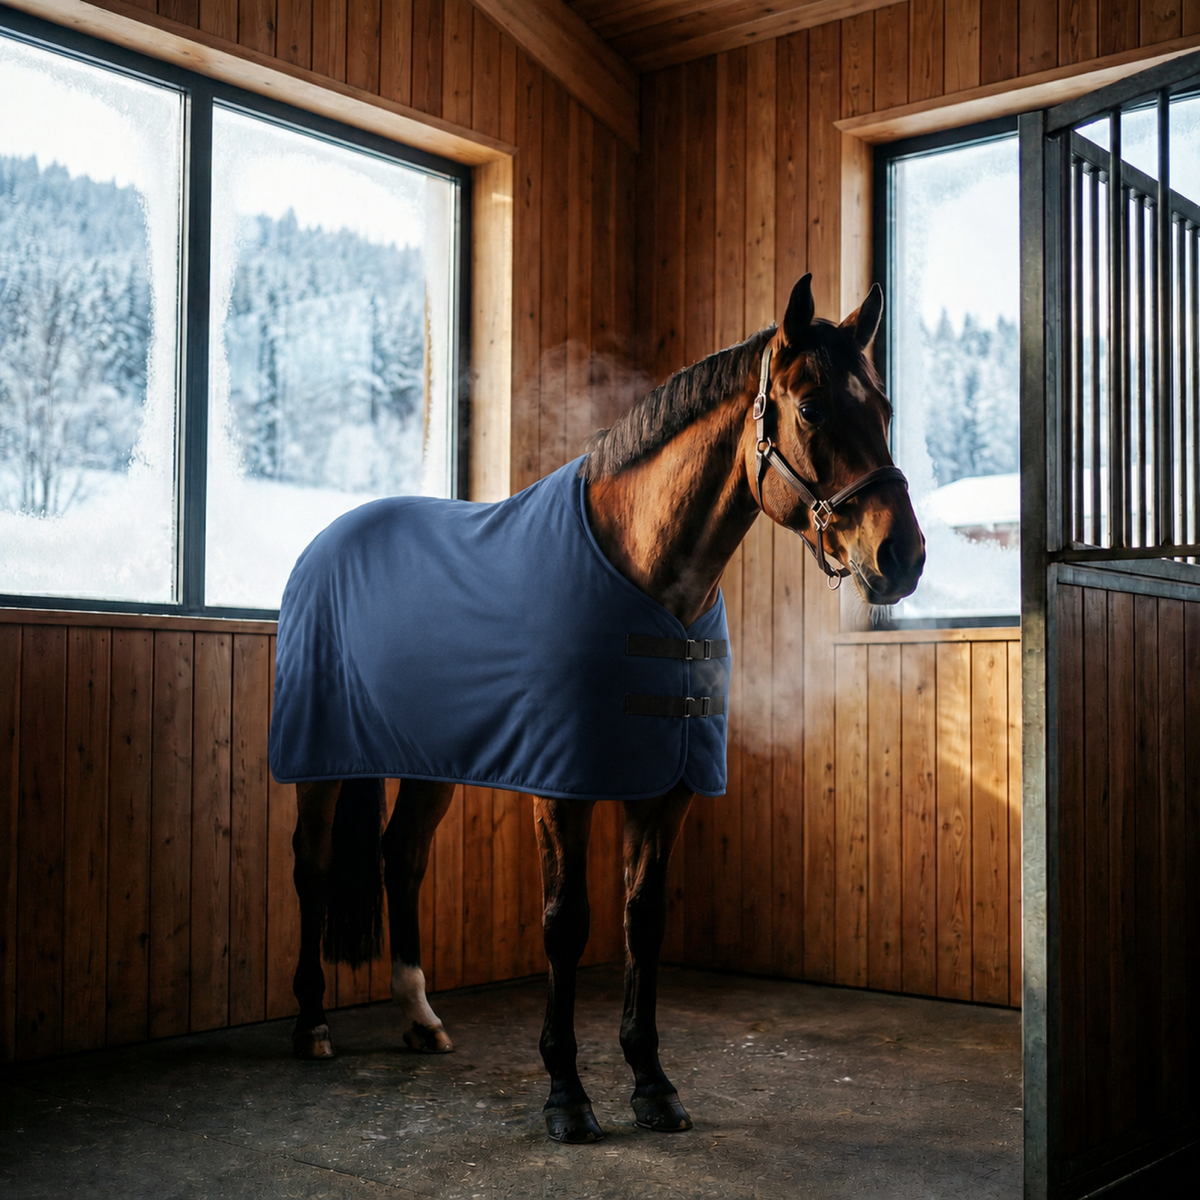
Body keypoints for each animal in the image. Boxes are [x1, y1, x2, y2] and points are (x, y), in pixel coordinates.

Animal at [269, 273, 925, 1145]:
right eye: (813, 407)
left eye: (882, 408)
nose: (902, 557)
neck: (645, 575)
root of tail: (325, 542)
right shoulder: (563, 787)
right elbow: (566, 923)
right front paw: (566, 1094)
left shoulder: (667, 790)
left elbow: (640, 922)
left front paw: (651, 1083)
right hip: (319, 761)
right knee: (311, 866)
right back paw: (311, 1023)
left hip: (427, 762)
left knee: (400, 858)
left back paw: (419, 1015)